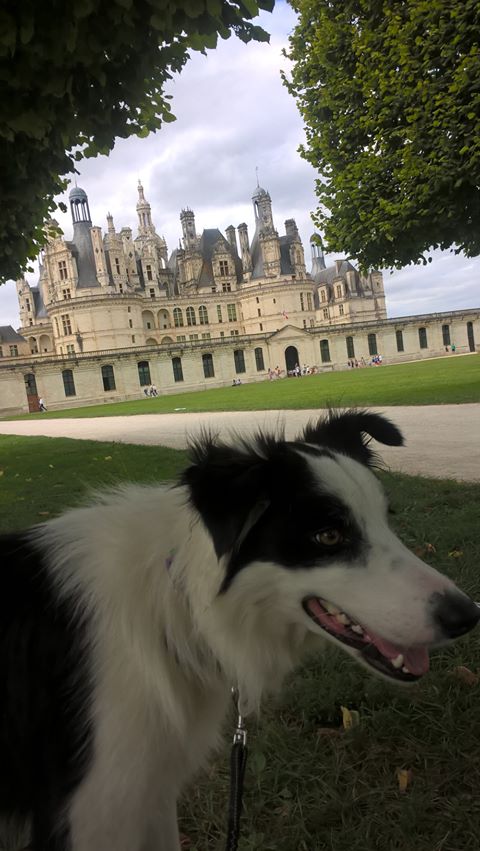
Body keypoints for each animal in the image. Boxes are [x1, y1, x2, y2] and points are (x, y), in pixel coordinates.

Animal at [0, 410, 478, 848]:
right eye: (328, 536)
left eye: (387, 518)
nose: (468, 615)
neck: (179, 601)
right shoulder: (97, 810)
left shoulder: (150, 793)